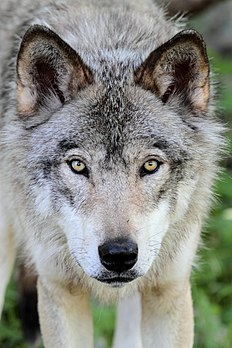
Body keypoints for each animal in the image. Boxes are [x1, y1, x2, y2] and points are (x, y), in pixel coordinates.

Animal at [0, 0, 225, 346]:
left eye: (150, 165)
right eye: (78, 165)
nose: (118, 254)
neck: (110, 45)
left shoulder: (169, 289)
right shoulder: (58, 288)